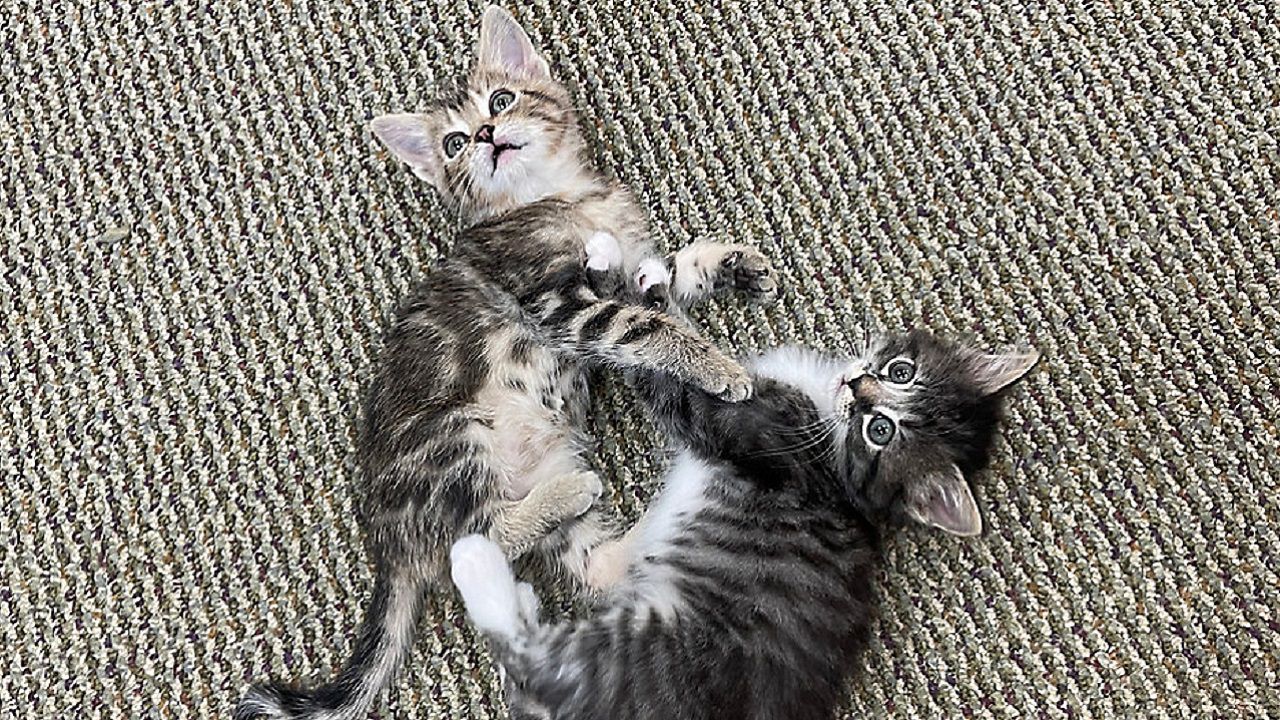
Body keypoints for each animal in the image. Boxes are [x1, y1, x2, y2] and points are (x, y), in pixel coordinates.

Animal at [239, 7, 773, 717]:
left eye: (499, 100)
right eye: (454, 143)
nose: (488, 135)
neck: (558, 197)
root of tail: (389, 540)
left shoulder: (629, 270)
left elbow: (669, 277)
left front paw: (733, 264)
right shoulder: (552, 302)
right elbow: (643, 326)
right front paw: (718, 367)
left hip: (553, 466)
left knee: (595, 567)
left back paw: (657, 528)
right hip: (454, 439)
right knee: (475, 540)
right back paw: (575, 497)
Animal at [445, 330, 1034, 717]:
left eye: (881, 431)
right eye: (901, 371)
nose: (857, 386)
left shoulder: (739, 428)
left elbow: (669, 369)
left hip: (641, 652)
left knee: (530, 656)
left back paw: (478, 564)